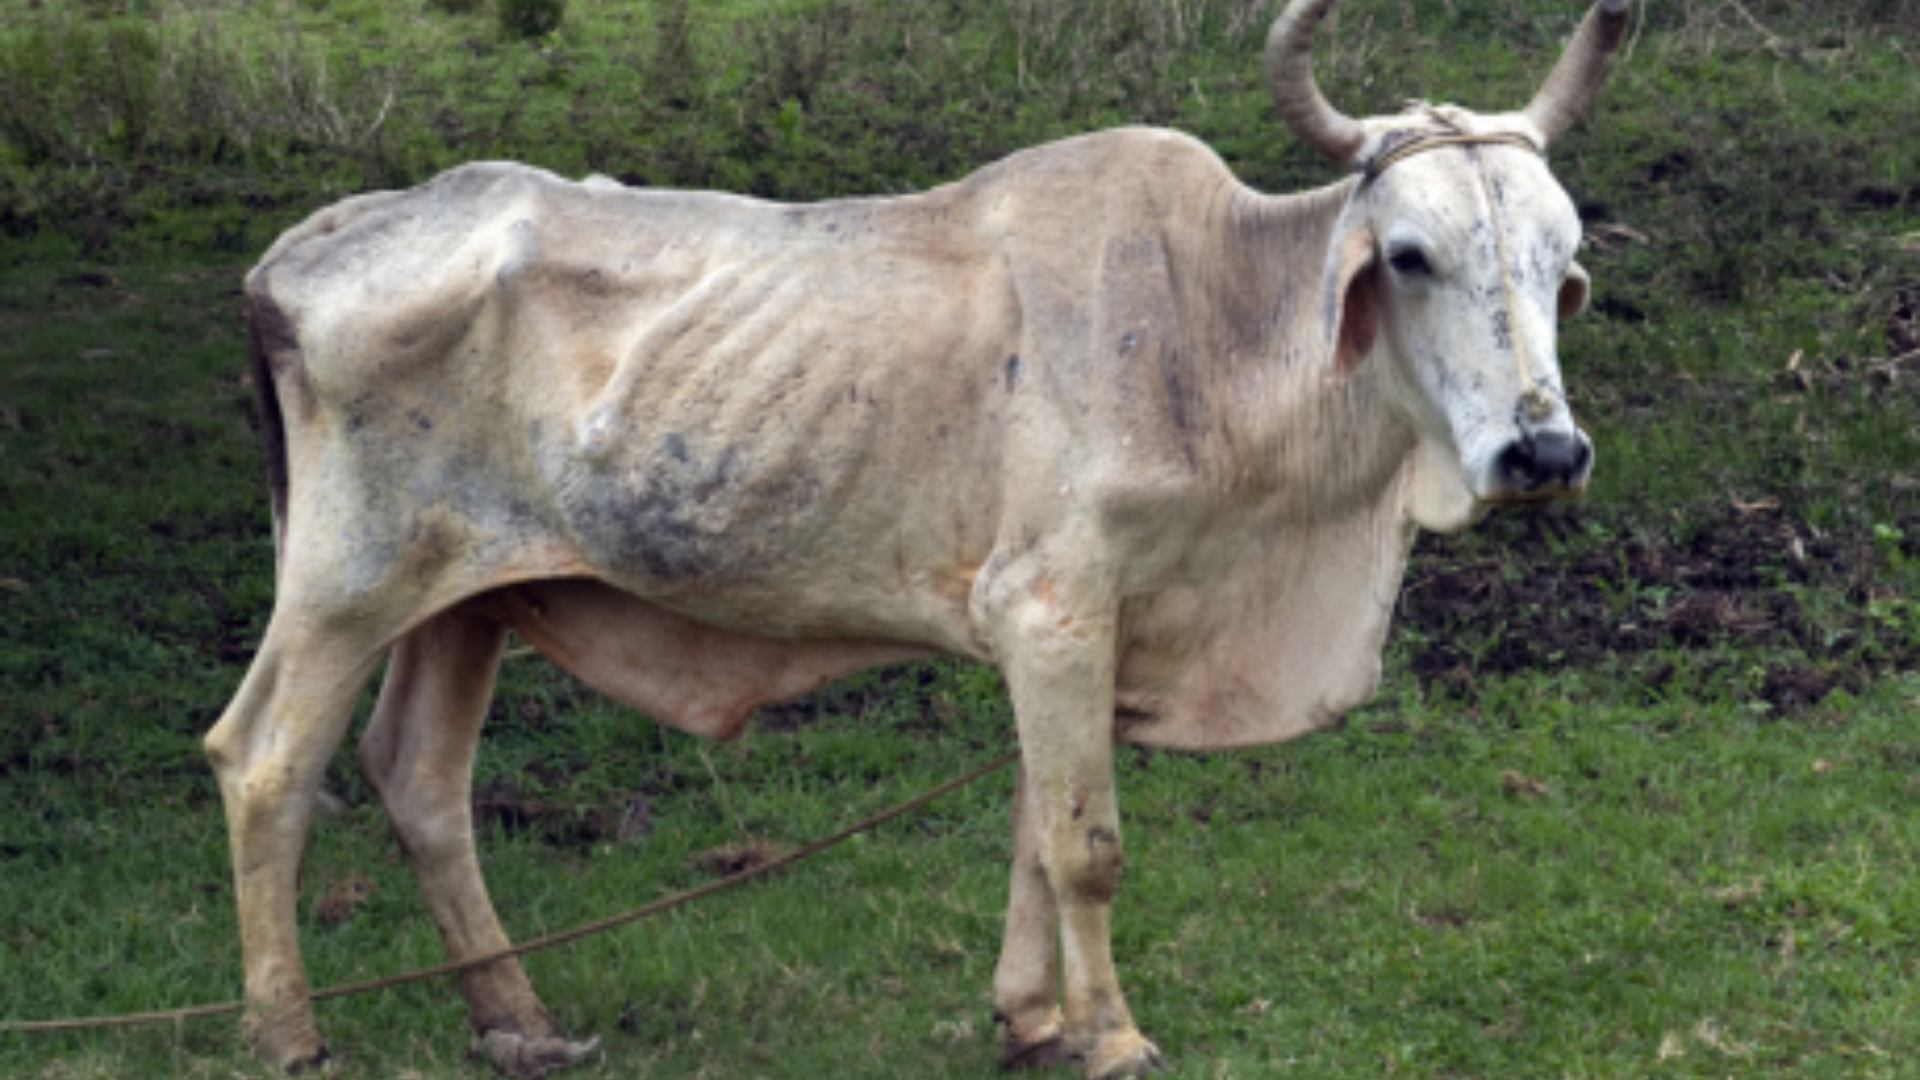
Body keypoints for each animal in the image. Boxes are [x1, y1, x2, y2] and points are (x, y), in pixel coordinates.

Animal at [202, 0, 1628, 1068]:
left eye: (1560, 256)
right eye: (1410, 254)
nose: (1543, 454)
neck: (1214, 328)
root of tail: (305, 245)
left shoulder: (1083, 635)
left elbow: (1034, 831)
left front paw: (1034, 1022)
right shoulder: (1053, 607)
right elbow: (1086, 848)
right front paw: (1115, 1039)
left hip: (464, 600)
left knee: (419, 781)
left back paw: (521, 1024)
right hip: (343, 589)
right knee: (264, 762)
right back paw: (289, 1034)